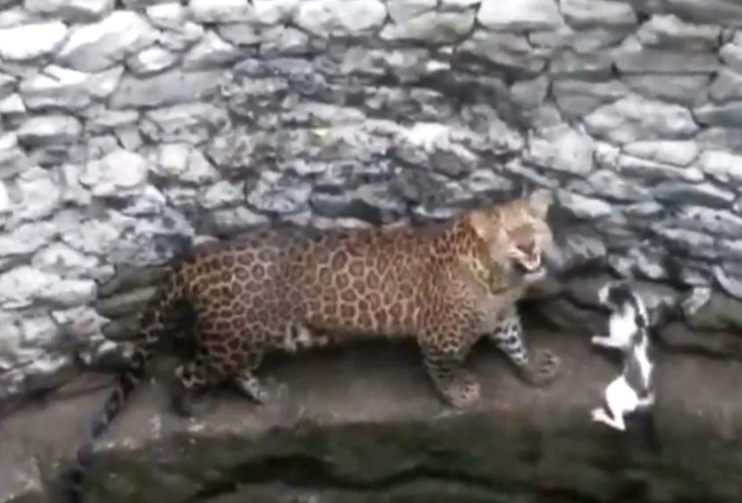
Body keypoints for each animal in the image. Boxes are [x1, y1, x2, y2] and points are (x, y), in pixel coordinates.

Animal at [65, 189, 561, 502]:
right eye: (507, 232)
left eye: (533, 224)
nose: (527, 244)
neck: (499, 279)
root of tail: (198, 257)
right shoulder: (442, 334)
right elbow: (443, 367)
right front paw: (458, 393)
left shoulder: (502, 315)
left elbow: (515, 342)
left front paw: (535, 369)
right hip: (230, 339)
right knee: (185, 369)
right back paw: (192, 408)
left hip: (253, 337)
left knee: (236, 369)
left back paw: (265, 392)